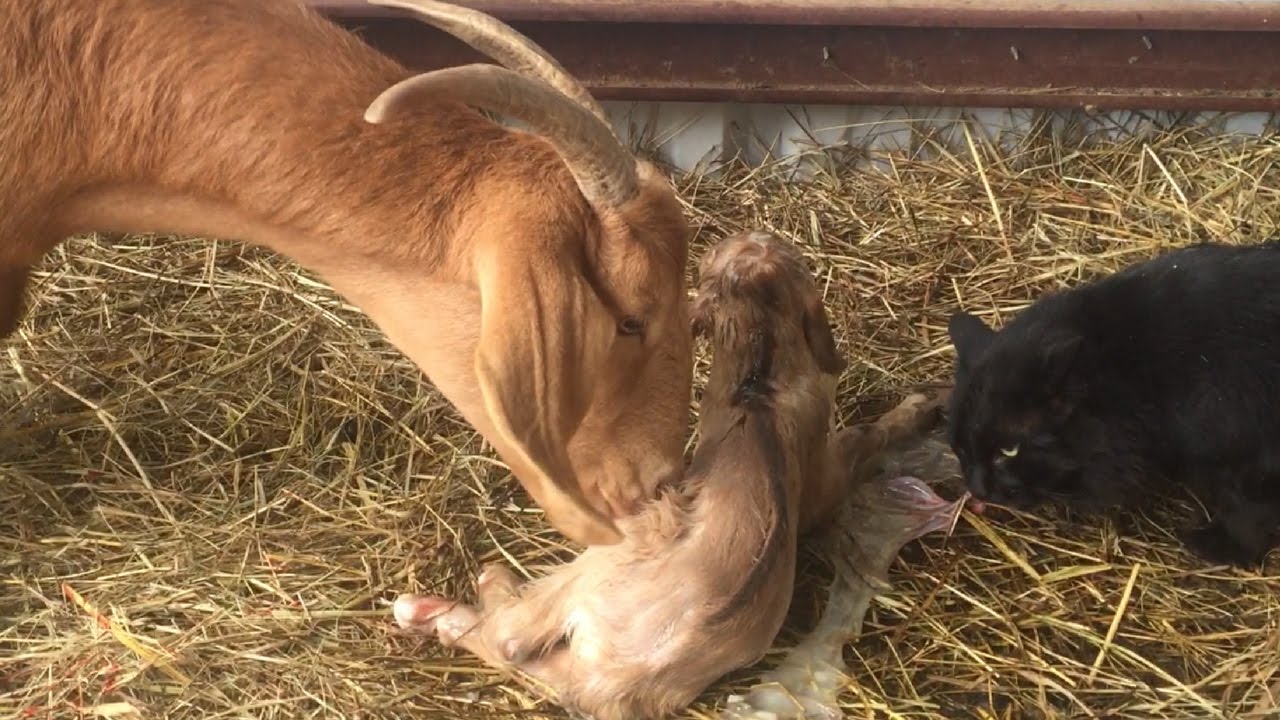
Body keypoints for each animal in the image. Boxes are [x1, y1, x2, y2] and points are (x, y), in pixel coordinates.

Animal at [391, 230, 849, 720]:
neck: (761, 378)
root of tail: (624, 671)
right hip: (589, 662)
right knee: (543, 669)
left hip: (618, 548)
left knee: (511, 638)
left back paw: (442, 600)